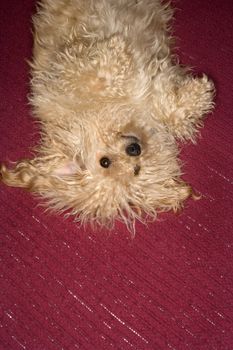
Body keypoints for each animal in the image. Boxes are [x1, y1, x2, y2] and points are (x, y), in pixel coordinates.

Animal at [0, 0, 215, 232]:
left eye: (136, 169)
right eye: (105, 162)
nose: (134, 149)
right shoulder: (66, 73)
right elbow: (99, 77)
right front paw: (117, 49)